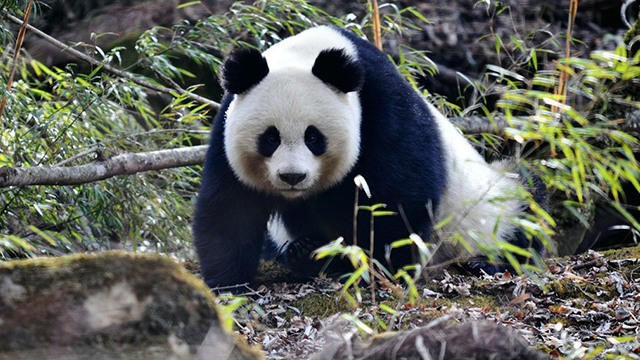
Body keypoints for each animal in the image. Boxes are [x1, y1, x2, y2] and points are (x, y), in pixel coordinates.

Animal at [191, 26, 544, 290]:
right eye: (270, 138)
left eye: (313, 137)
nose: (292, 177)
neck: (310, 53)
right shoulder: (226, 129)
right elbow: (230, 206)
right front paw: (228, 283)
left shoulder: (382, 110)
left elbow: (399, 197)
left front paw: (376, 266)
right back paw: (305, 252)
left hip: (492, 206)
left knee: (527, 203)